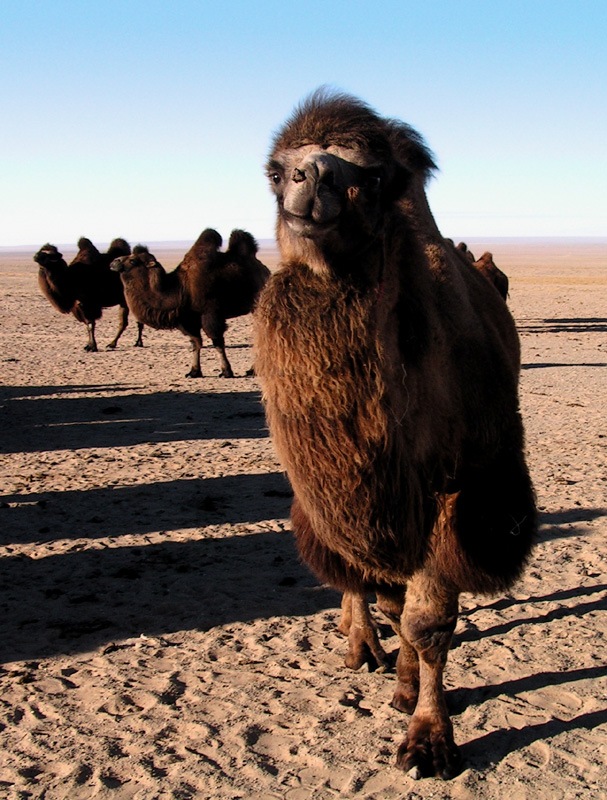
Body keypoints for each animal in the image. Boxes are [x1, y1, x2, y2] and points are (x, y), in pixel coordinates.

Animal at [110, 228, 270, 378]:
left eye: (132, 260)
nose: (114, 262)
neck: (180, 289)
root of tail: (264, 269)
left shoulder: (210, 313)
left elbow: (217, 342)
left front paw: (226, 371)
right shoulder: (188, 319)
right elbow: (195, 343)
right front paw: (194, 371)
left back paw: (253, 370)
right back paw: (252, 370)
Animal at [253, 90, 536, 780]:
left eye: (372, 176)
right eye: (276, 171)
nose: (311, 177)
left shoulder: (456, 484)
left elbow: (428, 621)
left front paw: (426, 735)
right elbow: (385, 592)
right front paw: (398, 683)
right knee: (353, 572)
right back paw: (360, 644)